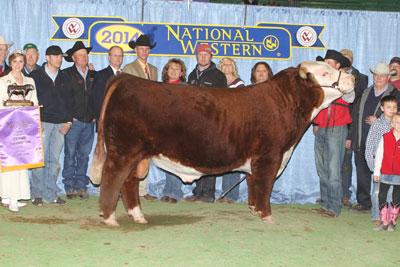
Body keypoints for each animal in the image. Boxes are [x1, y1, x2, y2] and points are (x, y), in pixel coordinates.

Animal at [90, 61, 354, 227]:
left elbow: (253, 185)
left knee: (129, 182)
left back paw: (137, 216)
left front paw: (254, 210)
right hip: (124, 149)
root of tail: (126, 79)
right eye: (325, 74)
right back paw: (109, 217)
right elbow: (264, 186)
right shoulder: (270, 156)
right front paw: (267, 216)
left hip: (136, 154)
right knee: (113, 177)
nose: (352, 77)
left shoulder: (258, 160)